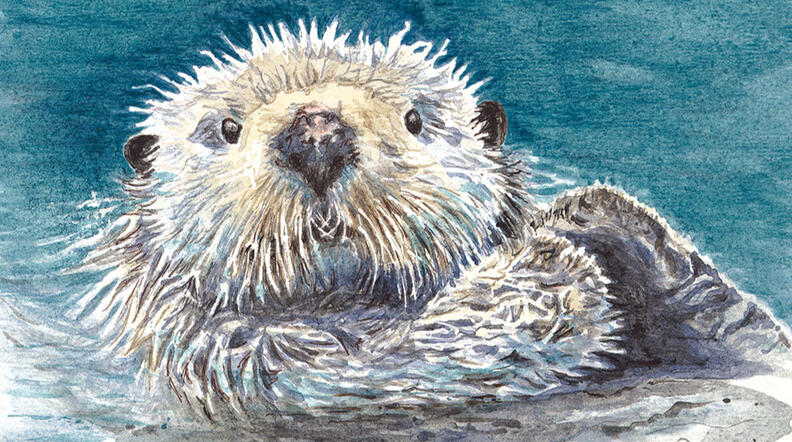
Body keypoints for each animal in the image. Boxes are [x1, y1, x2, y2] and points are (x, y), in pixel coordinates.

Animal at [84, 20, 791, 417]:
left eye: (415, 119)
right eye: (226, 129)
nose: (316, 135)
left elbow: (748, 336)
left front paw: (600, 216)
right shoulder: (243, 361)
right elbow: (434, 352)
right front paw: (554, 260)